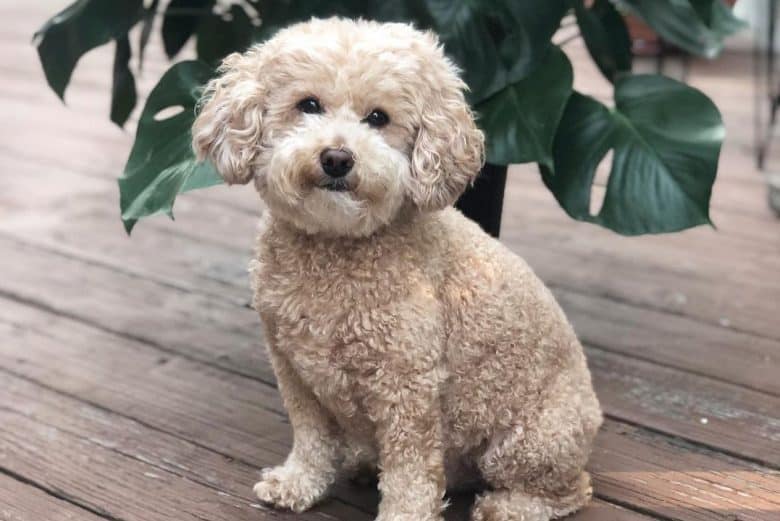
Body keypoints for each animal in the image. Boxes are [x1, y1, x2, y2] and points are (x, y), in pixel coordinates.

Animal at [190, 17, 604, 520]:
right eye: (308, 105)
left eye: (378, 118)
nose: (337, 158)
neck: (335, 251)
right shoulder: (294, 371)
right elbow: (311, 439)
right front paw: (299, 483)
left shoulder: (407, 387)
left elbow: (410, 472)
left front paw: (402, 513)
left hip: (531, 442)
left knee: (571, 489)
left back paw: (508, 506)